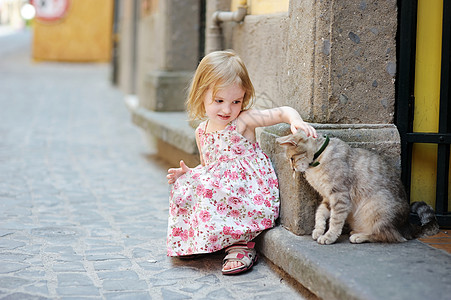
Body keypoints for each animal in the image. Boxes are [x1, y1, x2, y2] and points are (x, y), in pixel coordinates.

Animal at [278, 131, 440, 244]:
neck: (318, 160)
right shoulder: (327, 198)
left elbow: (335, 221)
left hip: (377, 207)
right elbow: (320, 214)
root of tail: (408, 226)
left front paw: (329, 236)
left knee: (388, 235)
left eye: (292, 159)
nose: (292, 168)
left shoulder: (340, 195)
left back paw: (360, 236)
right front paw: (318, 230)